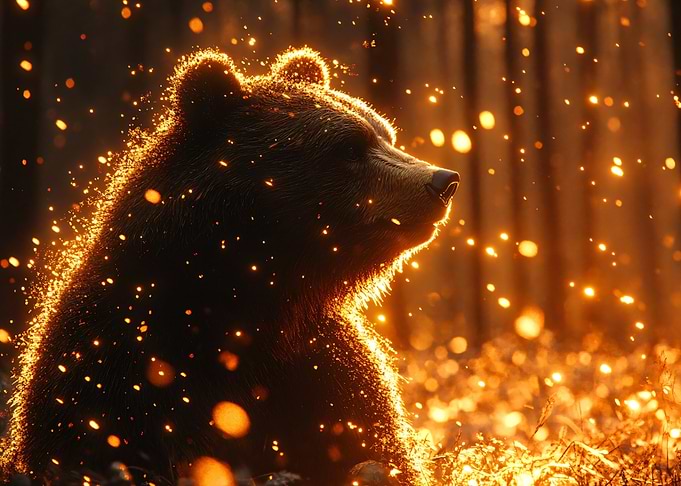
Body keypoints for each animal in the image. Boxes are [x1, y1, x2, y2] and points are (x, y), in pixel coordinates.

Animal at [0, 47, 459, 485]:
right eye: (348, 147)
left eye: (385, 133)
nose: (443, 181)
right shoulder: (111, 375)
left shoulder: (325, 374)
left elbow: (375, 449)